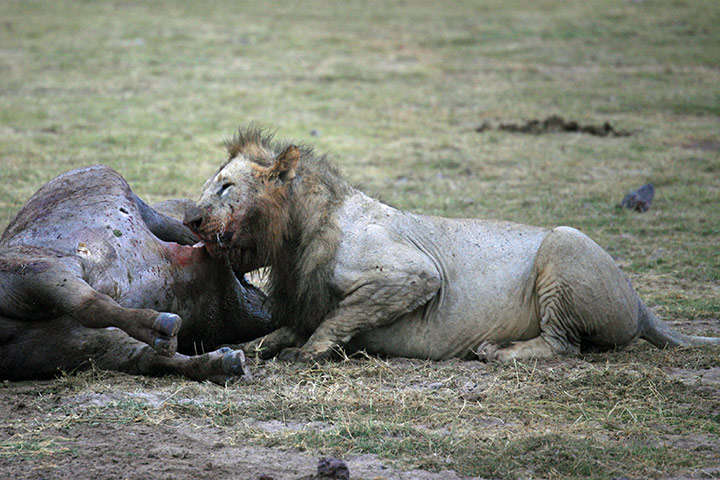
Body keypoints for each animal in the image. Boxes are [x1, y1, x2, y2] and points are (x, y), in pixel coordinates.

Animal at [184, 127, 719, 363]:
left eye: (225, 187)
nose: (190, 218)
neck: (295, 235)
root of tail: (640, 302)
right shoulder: (303, 296)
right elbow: (283, 330)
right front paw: (255, 345)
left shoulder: (413, 275)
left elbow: (338, 318)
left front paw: (308, 353)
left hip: (565, 245)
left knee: (563, 345)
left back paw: (496, 352)